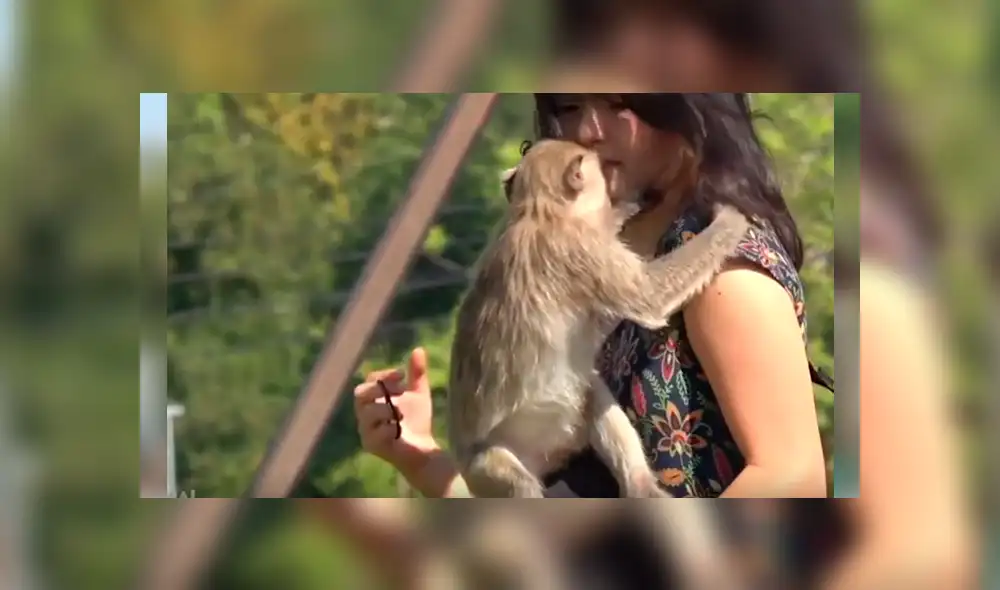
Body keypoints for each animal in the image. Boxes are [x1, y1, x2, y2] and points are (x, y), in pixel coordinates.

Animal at [446, 139, 751, 499]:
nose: (612, 192)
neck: (539, 210)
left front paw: (628, 207)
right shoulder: (579, 249)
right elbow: (650, 296)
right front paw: (731, 220)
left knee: (590, 392)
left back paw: (641, 487)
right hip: (486, 467)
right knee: (520, 485)